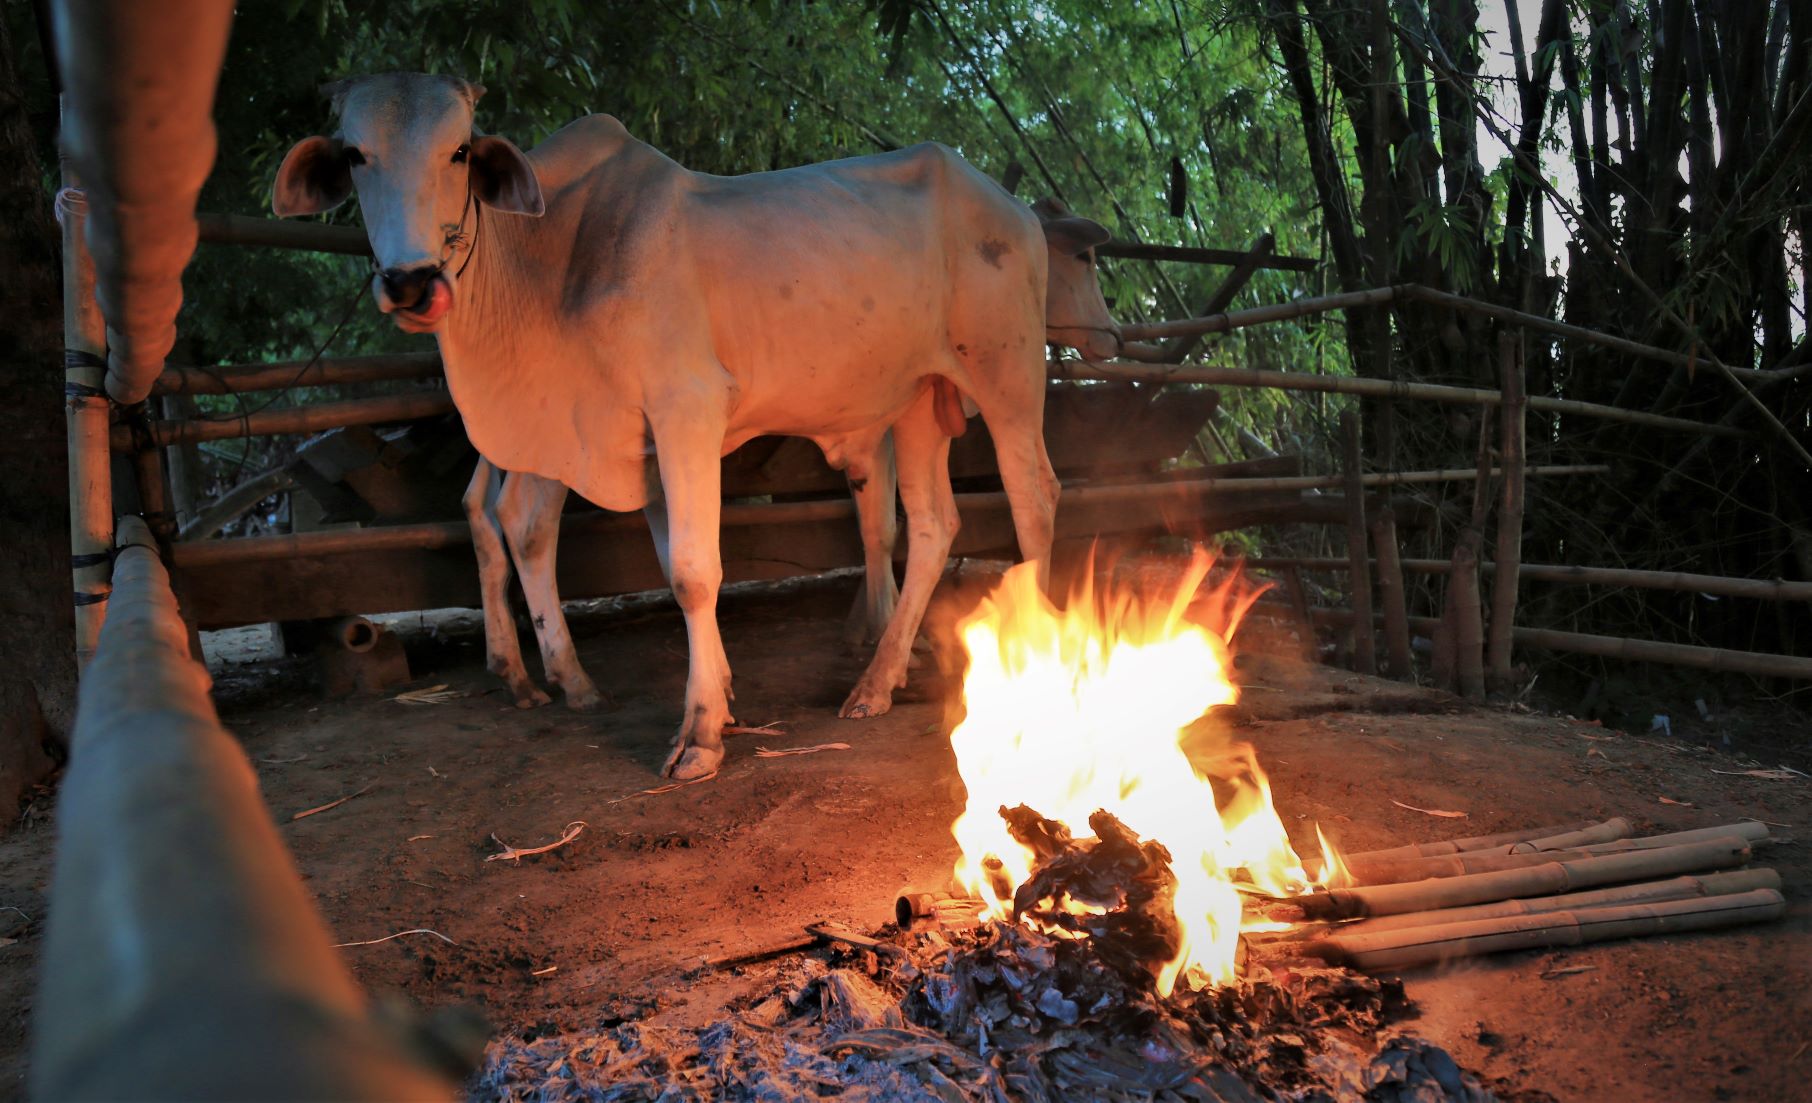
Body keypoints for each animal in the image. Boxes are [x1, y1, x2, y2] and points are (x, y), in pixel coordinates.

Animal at [462, 205, 1120, 714]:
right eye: (1085, 260)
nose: (1112, 336)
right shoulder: (877, 427)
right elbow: (879, 525)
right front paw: (877, 626)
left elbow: (880, 521)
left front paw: (874, 630)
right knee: (521, 520)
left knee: (483, 510)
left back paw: (515, 671)